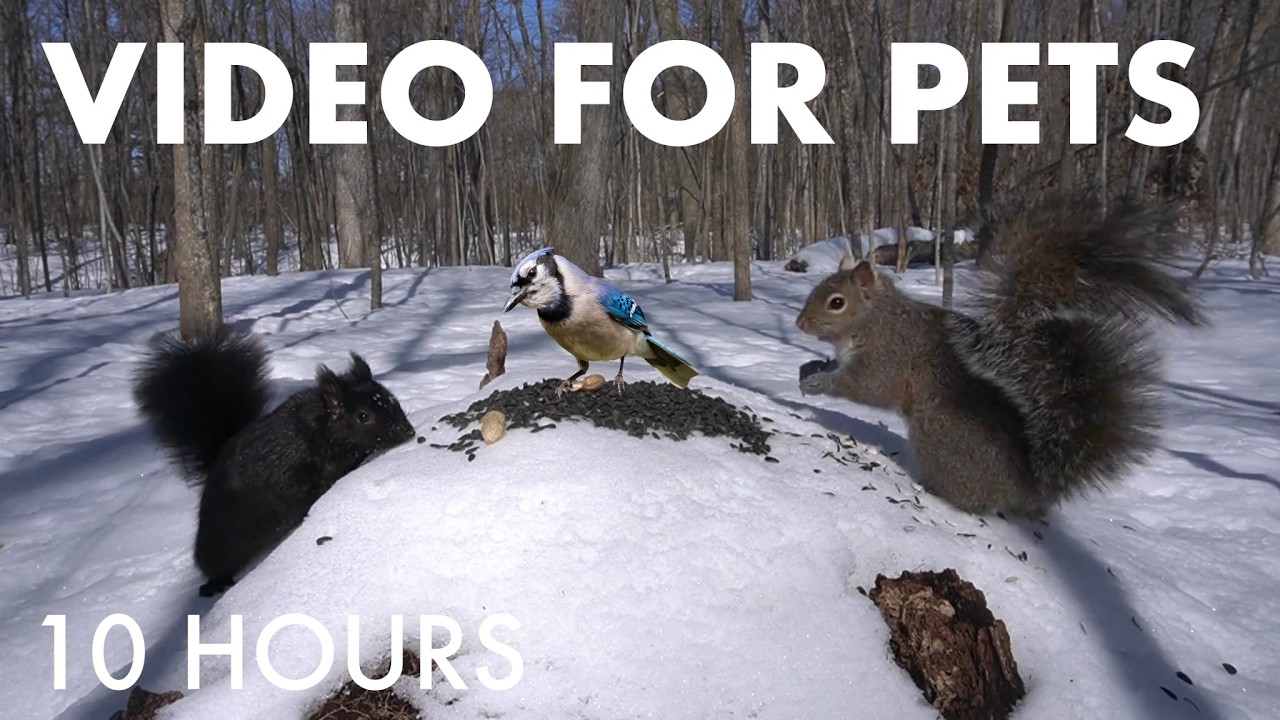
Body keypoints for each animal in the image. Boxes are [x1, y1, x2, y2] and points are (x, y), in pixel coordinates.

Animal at [132, 326, 416, 596]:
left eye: (392, 398)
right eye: (363, 416)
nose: (408, 432)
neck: (320, 430)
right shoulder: (288, 470)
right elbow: (299, 495)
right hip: (220, 539)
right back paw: (214, 584)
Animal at [795, 201, 1205, 515]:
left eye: (836, 303)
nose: (799, 323)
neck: (875, 319)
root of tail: (1027, 490)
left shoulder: (891, 354)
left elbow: (868, 386)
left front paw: (822, 382)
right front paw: (811, 367)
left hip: (940, 435)